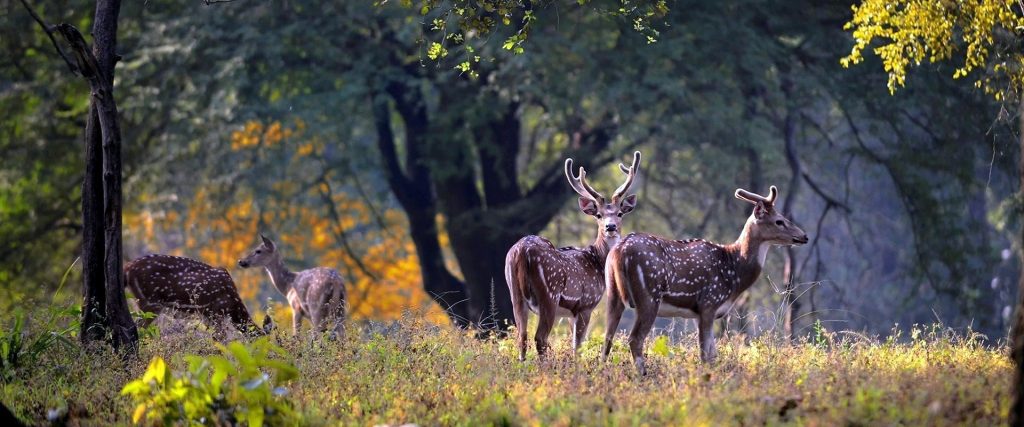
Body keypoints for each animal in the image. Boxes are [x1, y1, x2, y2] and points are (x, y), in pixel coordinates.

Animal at [503, 149, 638, 360]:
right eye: (598, 215)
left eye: (620, 213)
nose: (610, 227)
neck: (597, 262)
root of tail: (521, 252)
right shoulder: (585, 304)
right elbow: (578, 346)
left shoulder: (570, 313)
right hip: (549, 294)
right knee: (540, 337)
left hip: (514, 293)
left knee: (521, 336)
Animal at [598, 184, 806, 370]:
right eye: (779, 220)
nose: (804, 236)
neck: (734, 271)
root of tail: (619, 251)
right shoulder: (709, 303)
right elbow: (706, 355)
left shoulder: (700, 313)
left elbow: (713, 354)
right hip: (649, 296)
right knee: (635, 339)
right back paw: (643, 375)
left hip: (613, 293)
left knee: (607, 337)